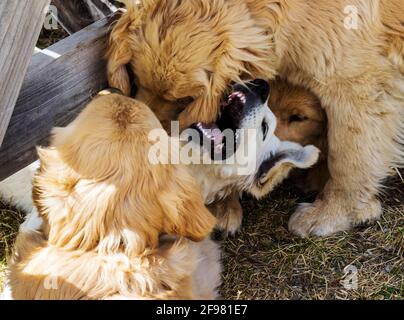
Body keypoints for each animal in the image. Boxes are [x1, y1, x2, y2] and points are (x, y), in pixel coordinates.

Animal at [106, 0, 404, 238]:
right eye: (136, 78)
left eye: (185, 99)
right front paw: (224, 205)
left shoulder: (358, 86)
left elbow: (349, 159)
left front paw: (331, 214)